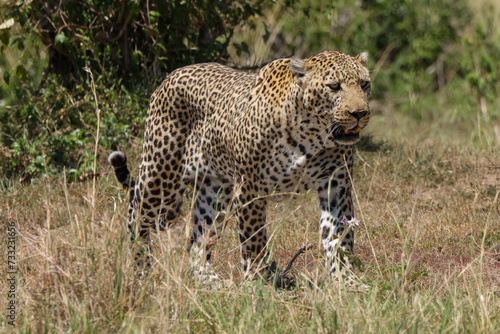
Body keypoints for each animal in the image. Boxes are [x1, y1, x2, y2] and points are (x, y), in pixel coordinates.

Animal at [109, 51, 372, 286]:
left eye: (364, 84)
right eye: (334, 86)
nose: (360, 113)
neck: (311, 133)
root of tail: (169, 76)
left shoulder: (336, 184)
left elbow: (339, 236)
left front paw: (346, 280)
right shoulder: (249, 187)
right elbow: (254, 239)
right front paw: (258, 283)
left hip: (215, 192)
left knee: (199, 239)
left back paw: (208, 280)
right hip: (161, 178)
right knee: (136, 214)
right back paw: (140, 268)